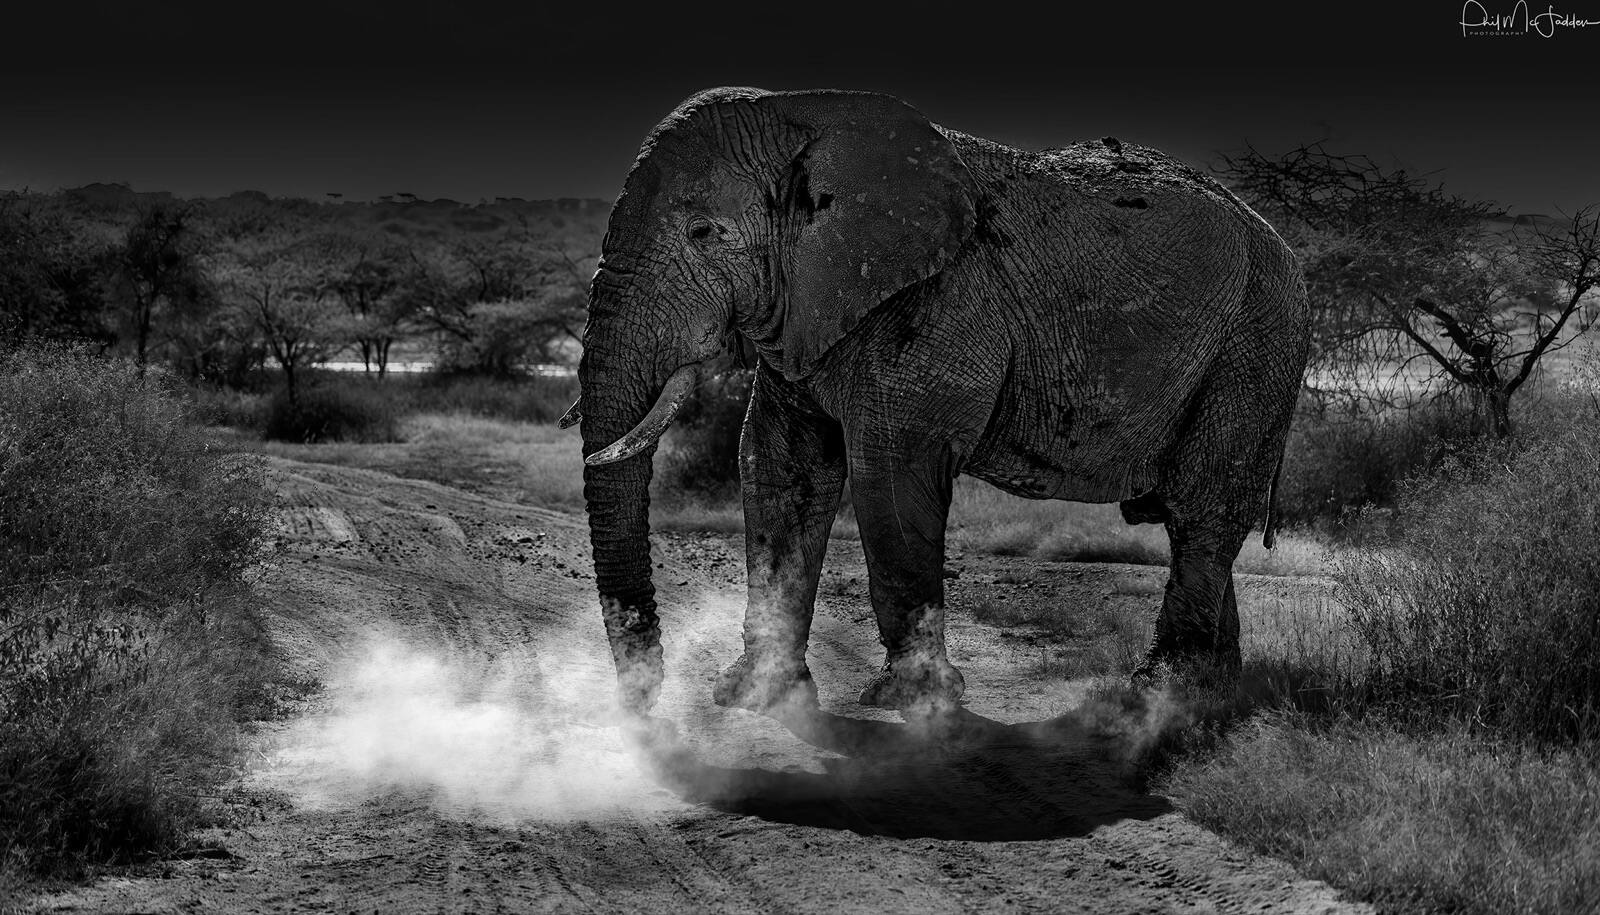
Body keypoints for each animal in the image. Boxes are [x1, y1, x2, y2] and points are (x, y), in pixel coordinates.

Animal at [571, 87, 1309, 717]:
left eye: (703, 232)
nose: (643, 711)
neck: (805, 112)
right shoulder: (805, 309)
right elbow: (781, 468)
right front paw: (756, 698)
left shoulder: (942, 301)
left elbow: (889, 472)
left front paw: (910, 703)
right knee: (1195, 522)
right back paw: (1211, 695)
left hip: (1257, 345)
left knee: (1201, 510)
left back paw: (1158, 698)